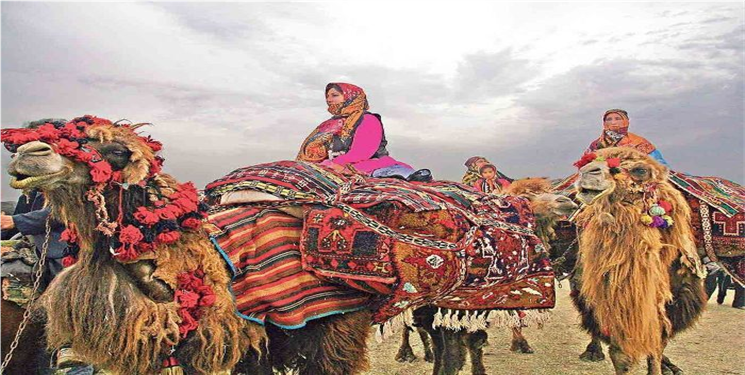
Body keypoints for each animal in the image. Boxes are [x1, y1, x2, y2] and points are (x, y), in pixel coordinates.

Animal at [568, 148, 704, 374]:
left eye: (640, 170)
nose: (588, 172)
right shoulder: (616, 302)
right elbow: (622, 353)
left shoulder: (672, 302)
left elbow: (657, 344)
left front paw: (659, 367)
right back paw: (592, 352)